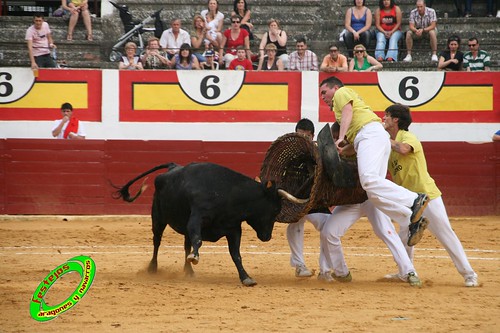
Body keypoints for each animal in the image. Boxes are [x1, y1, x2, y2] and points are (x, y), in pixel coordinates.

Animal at [114, 161, 306, 286]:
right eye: (276, 209)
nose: (267, 237)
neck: (229, 195)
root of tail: (172, 167)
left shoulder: (233, 228)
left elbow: (236, 254)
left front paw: (246, 278)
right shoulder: (196, 219)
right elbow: (198, 240)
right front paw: (195, 257)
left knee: (185, 245)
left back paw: (188, 271)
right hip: (158, 217)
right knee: (157, 241)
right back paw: (153, 268)